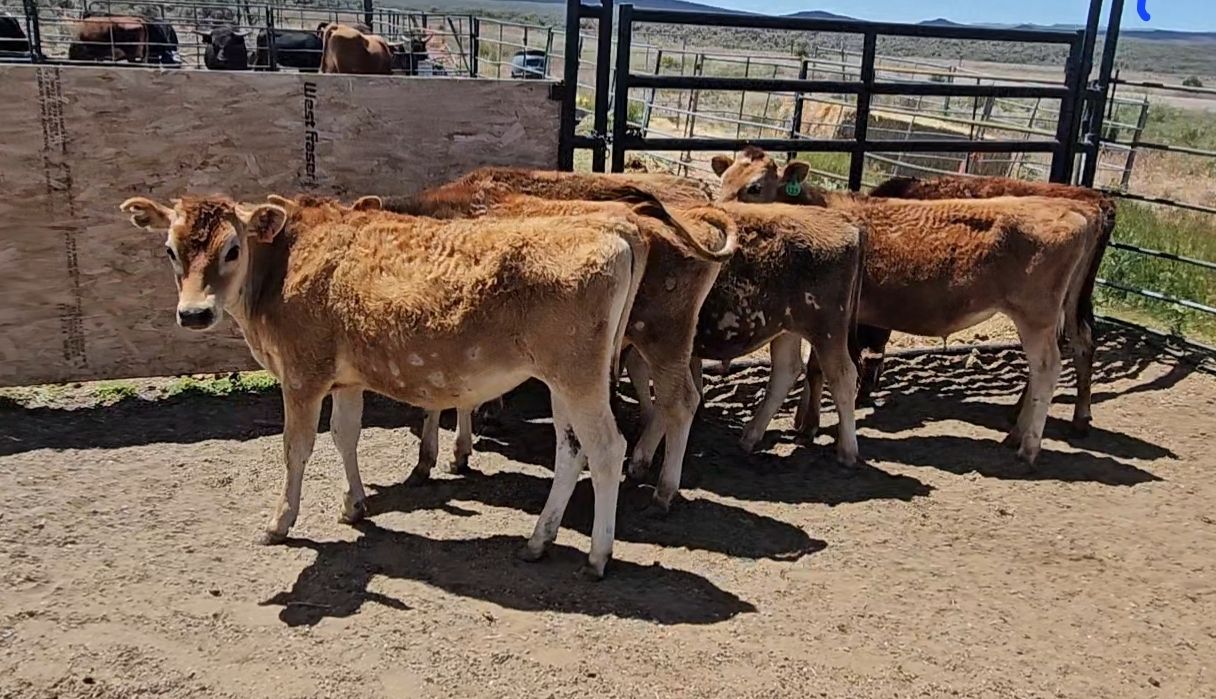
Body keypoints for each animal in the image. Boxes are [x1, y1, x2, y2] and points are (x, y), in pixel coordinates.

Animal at [118, 192, 656, 580]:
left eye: (232, 249)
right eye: (170, 250)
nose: (193, 313)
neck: (282, 268)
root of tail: (615, 229)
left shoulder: (302, 373)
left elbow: (297, 448)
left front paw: (279, 522)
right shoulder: (346, 379)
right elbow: (345, 435)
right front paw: (354, 506)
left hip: (578, 375)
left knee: (607, 449)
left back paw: (598, 556)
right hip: (560, 380)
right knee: (571, 450)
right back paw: (538, 541)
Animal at [379, 174, 739, 512]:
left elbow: (439, 400)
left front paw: (432, 459)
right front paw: (461, 446)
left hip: (662, 335)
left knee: (679, 402)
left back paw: (662, 489)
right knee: (672, 395)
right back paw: (641, 463)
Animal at [712, 147, 1108, 463]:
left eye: (754, 187)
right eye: (724, 180)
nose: (721, 213)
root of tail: (1078, 209)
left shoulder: (831, 315)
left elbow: (818, 369)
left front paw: (807, 425)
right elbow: (815, 368)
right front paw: (804, 422)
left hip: (1036, 316)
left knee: (1048, 367)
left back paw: (1029, 446)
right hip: (1061, 310)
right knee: (1074, 348)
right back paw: (1036, 429)